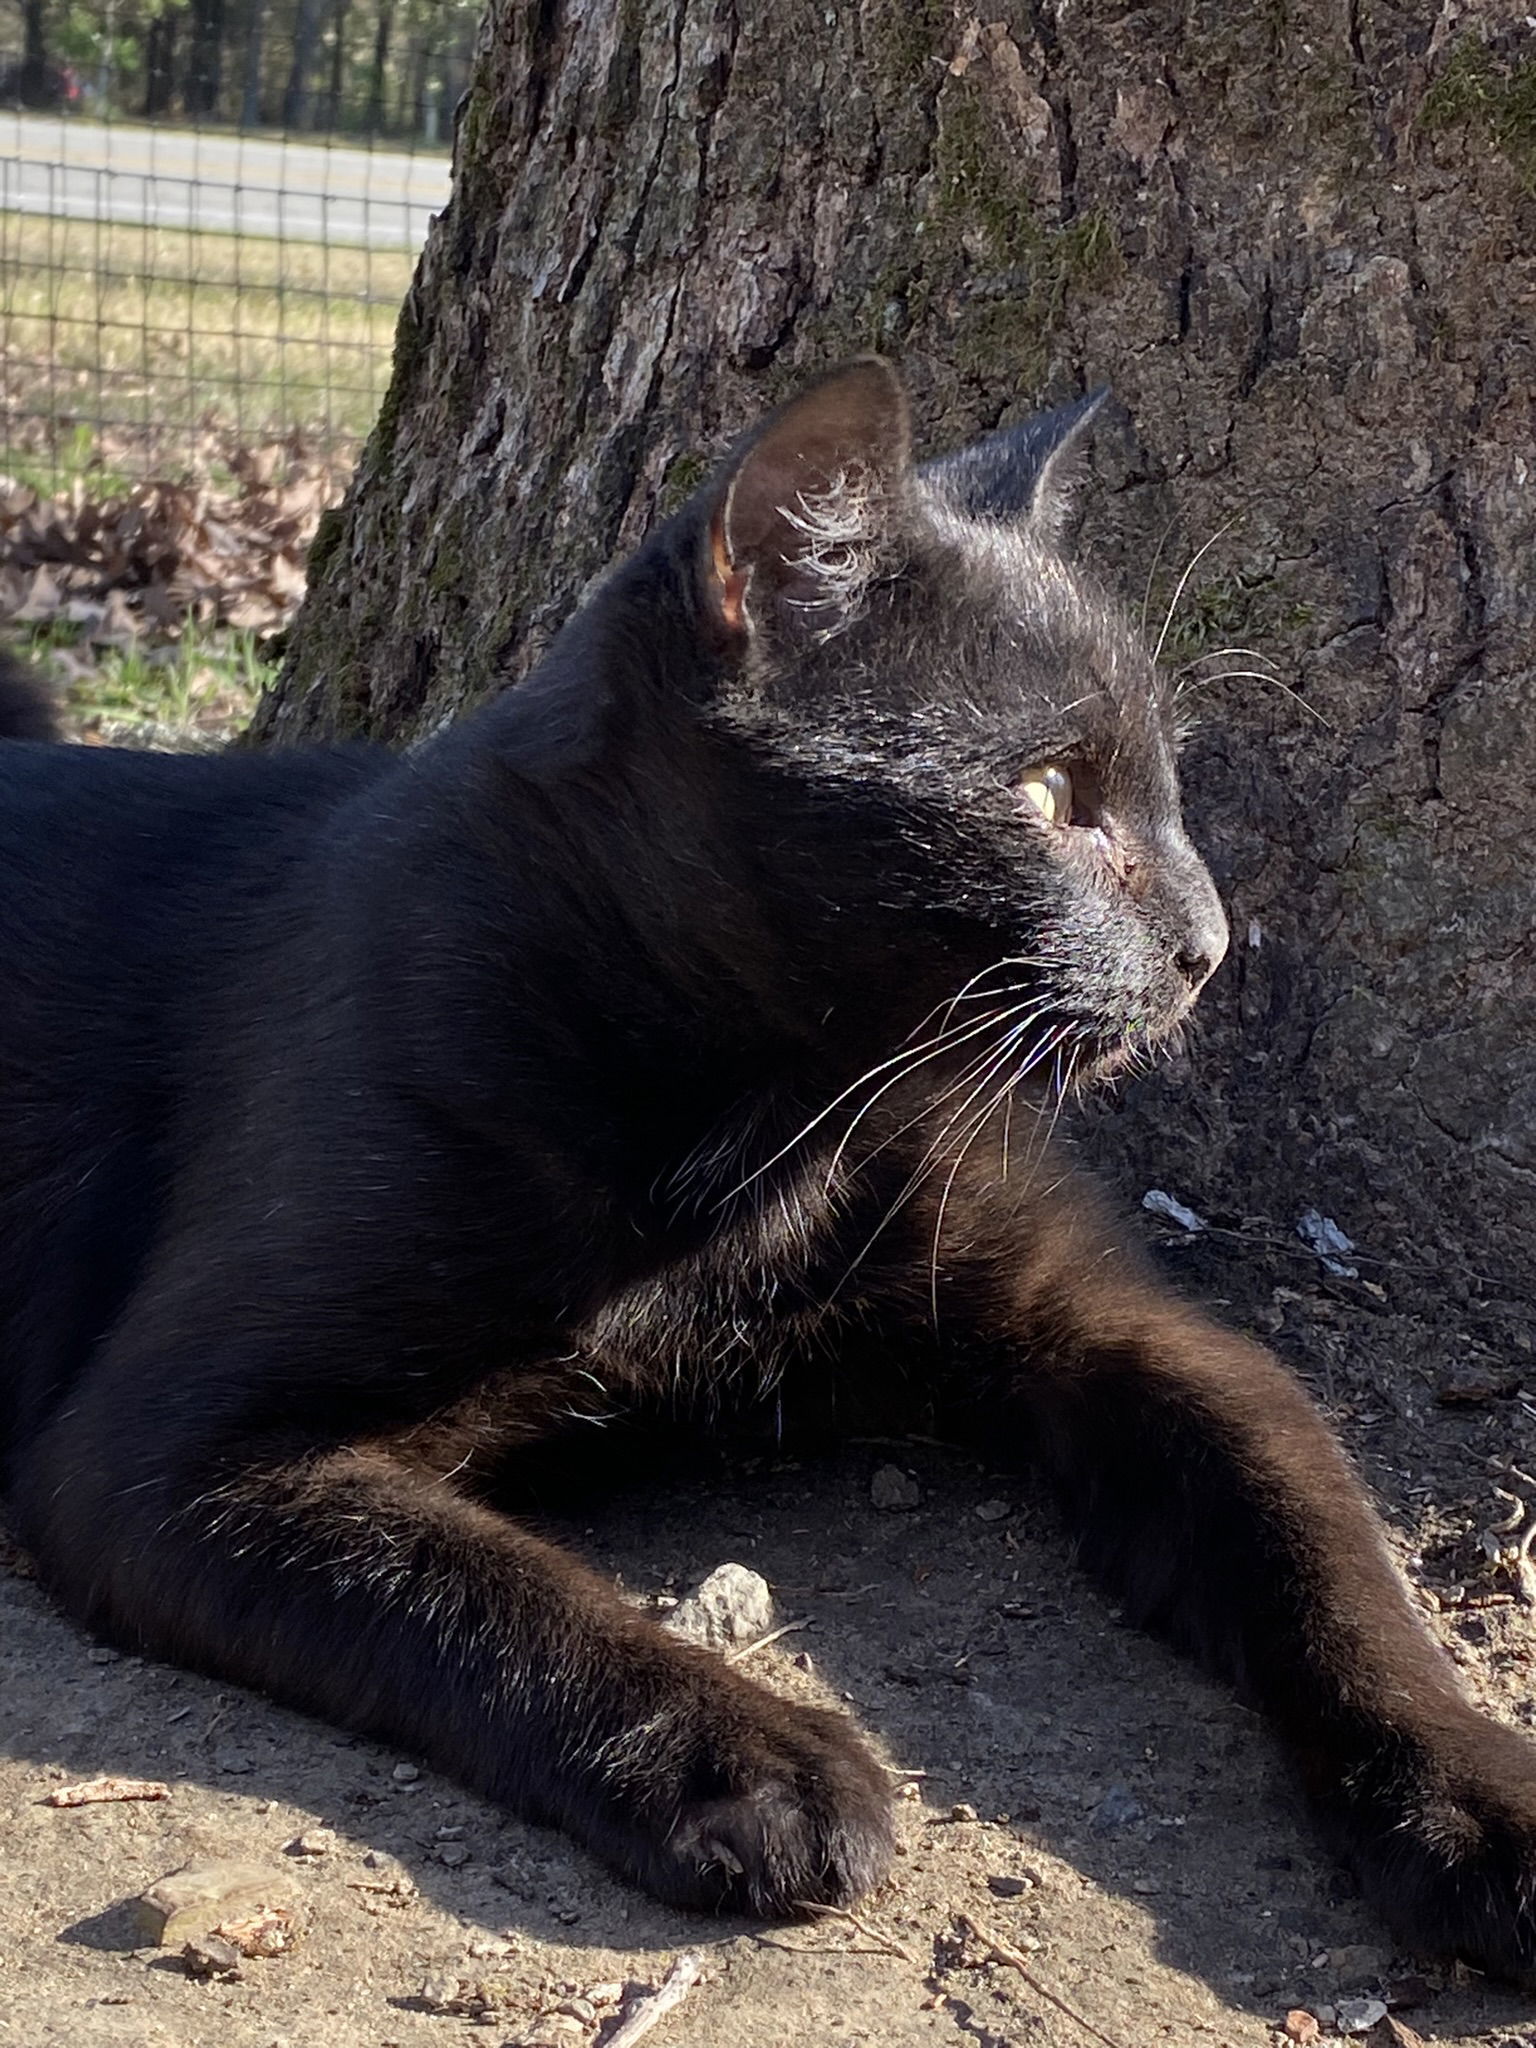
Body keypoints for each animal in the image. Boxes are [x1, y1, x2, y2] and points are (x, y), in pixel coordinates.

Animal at [3, 364, 1536, 1982]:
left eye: (1170, 787)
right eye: (1047, 794)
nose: (1209, 942)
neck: (772, 1130)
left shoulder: (1126, 1331)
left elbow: (1327, 1556)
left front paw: (1479, 1797)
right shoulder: (150, 1455)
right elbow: (478, 1580)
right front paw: (749, 1760)